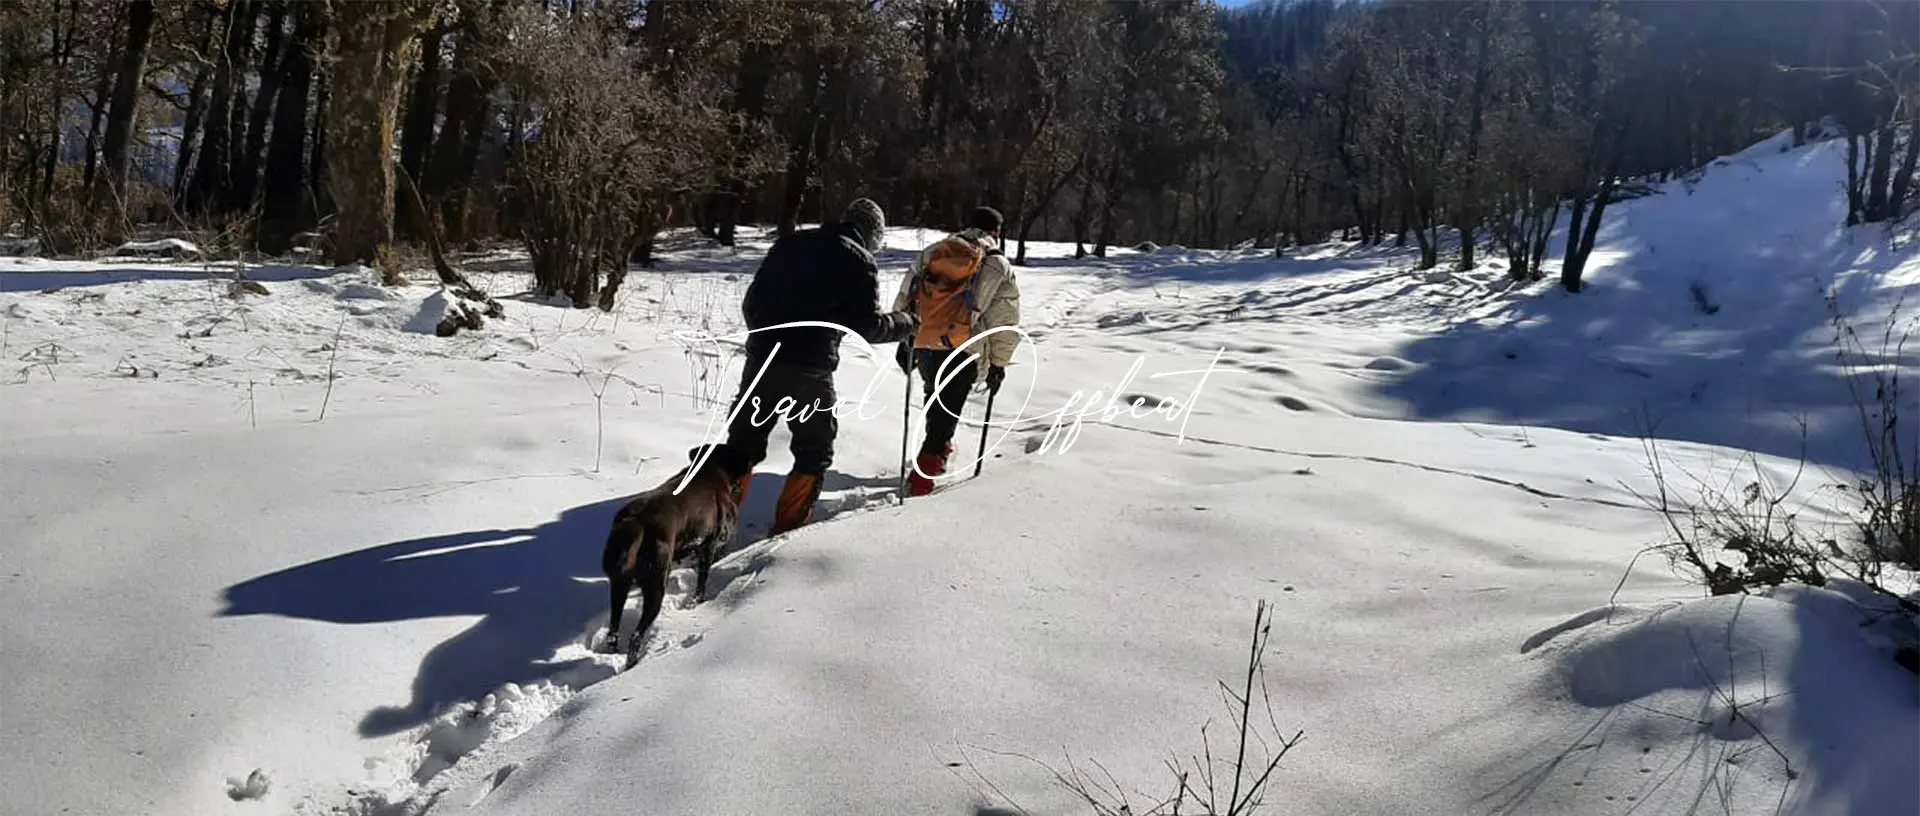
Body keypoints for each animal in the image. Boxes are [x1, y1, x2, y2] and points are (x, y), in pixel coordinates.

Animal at [599, 441, 748, 664]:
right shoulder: (708, 545)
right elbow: (701, 581)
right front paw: (697, 601)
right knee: (636, 636)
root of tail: (637, 522)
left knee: (613, 630)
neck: (709, 470)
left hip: (619, 585)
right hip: (655, 586)